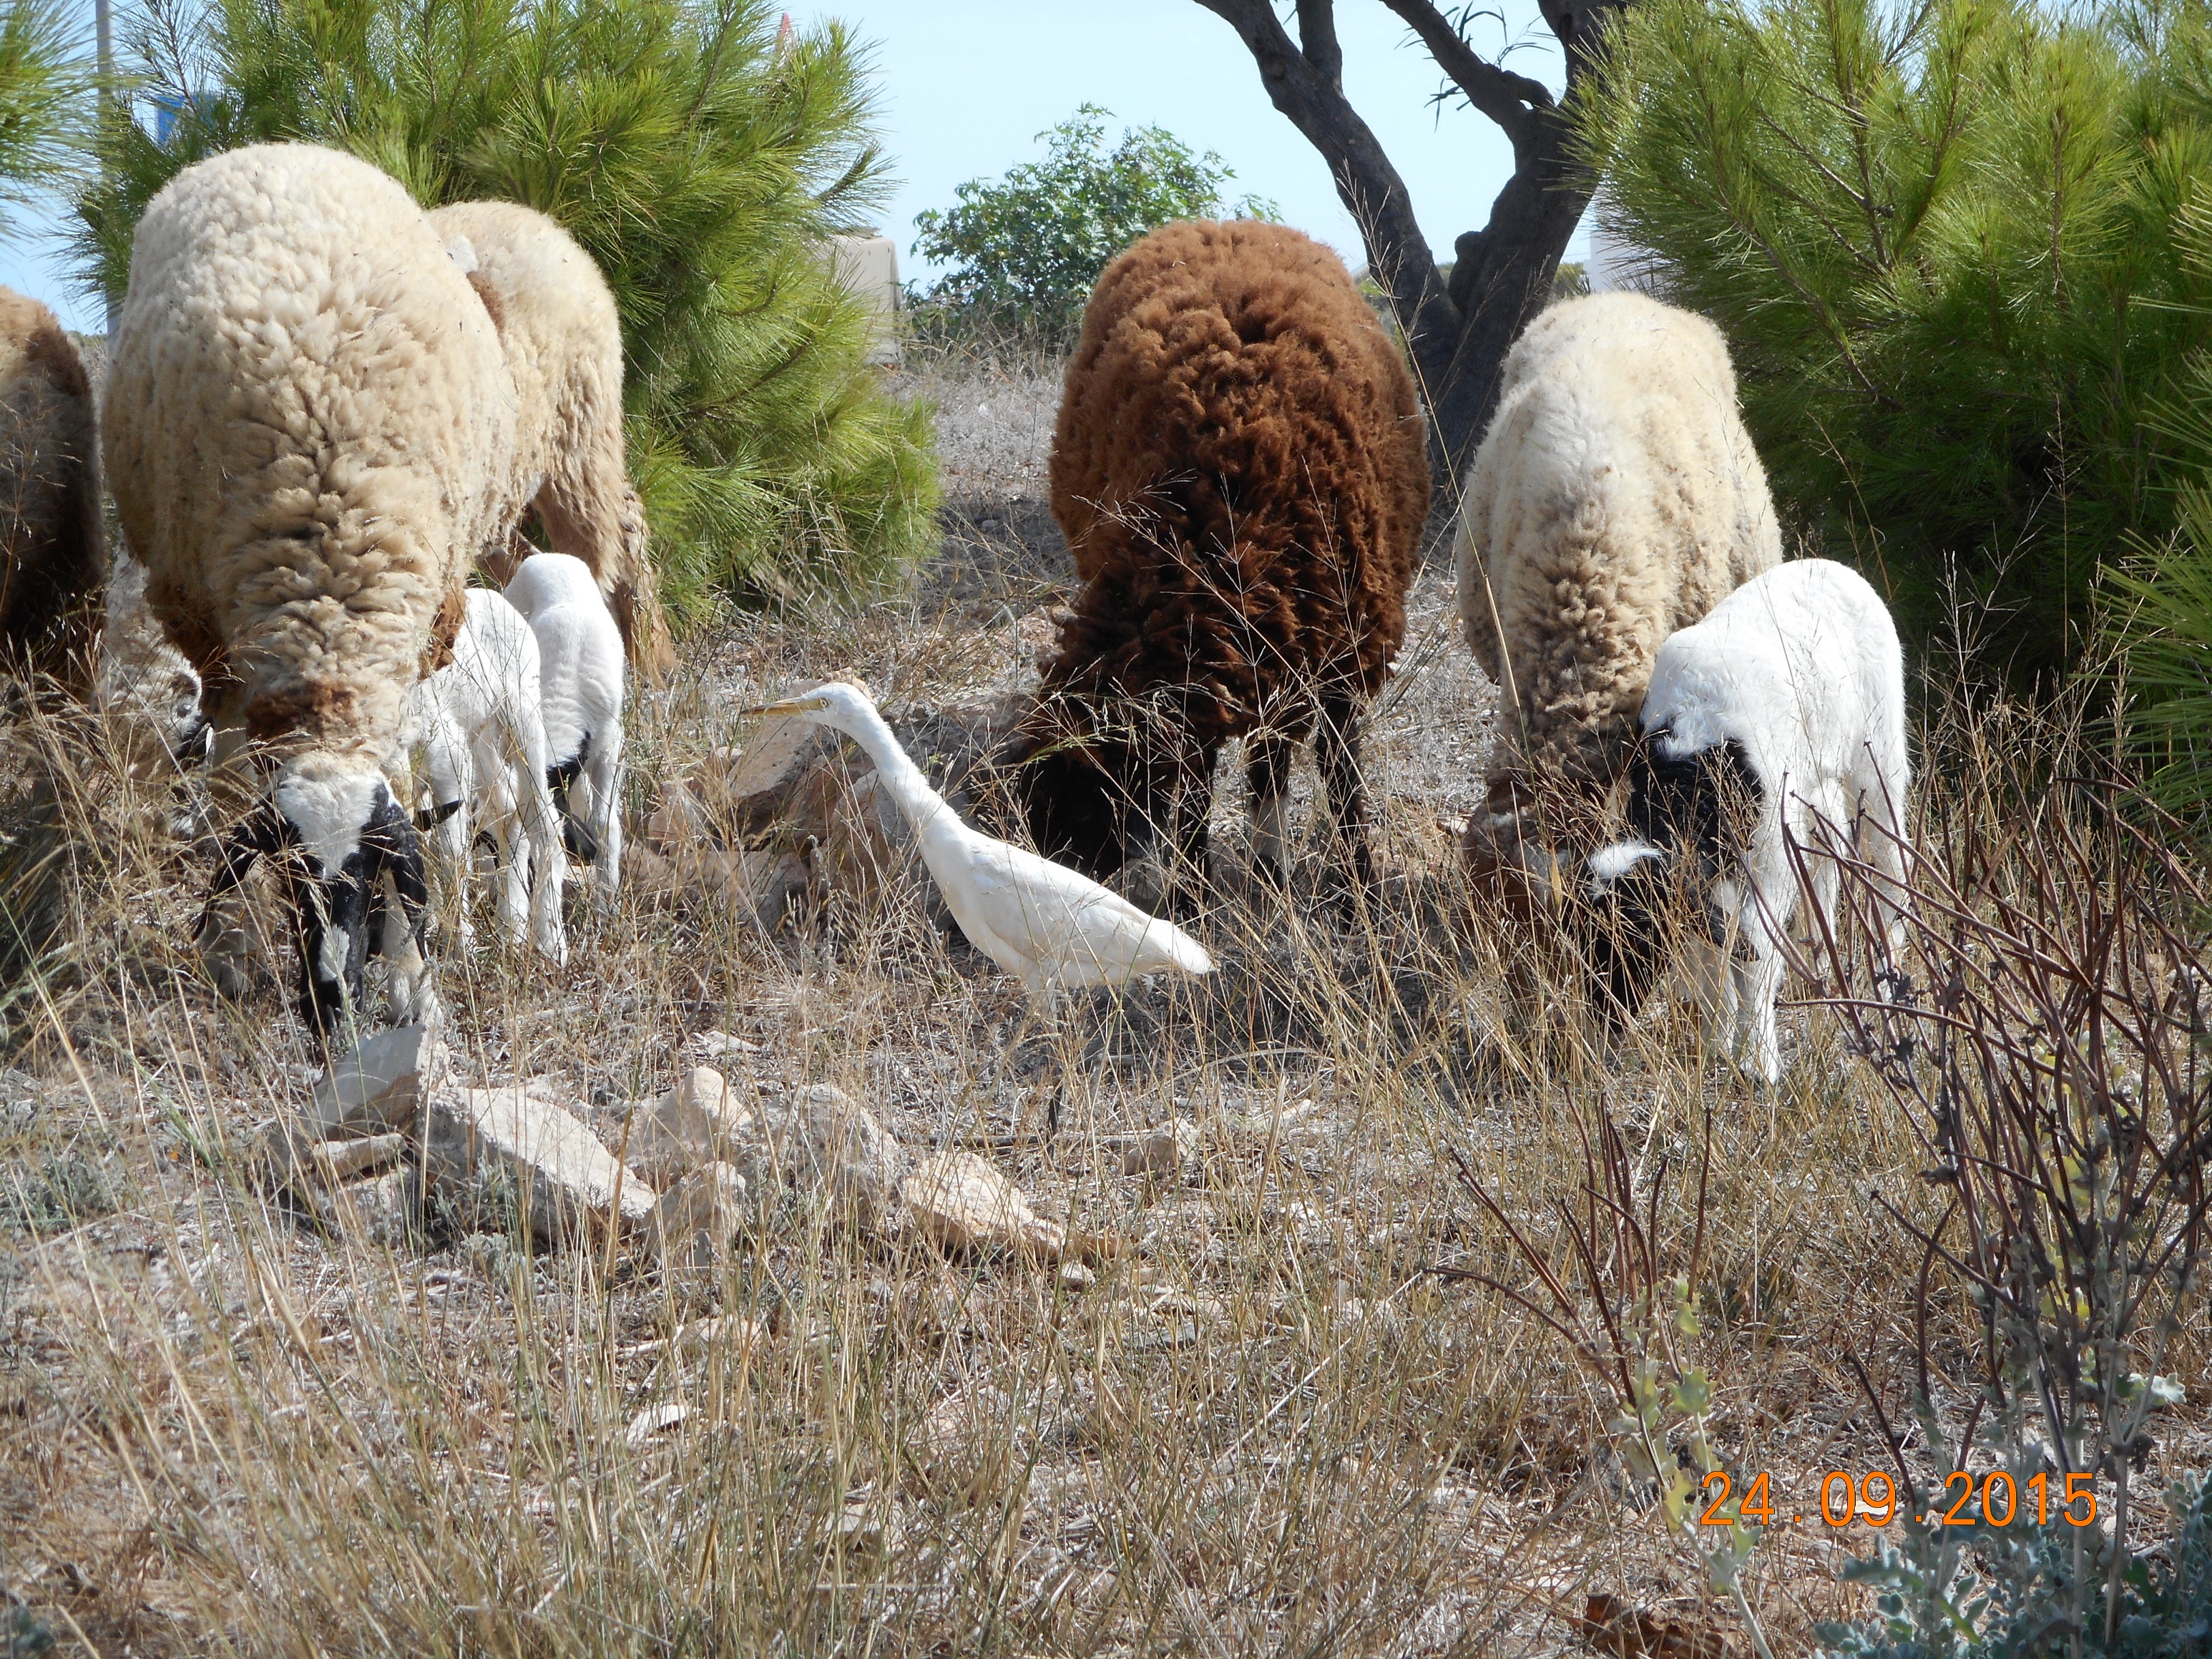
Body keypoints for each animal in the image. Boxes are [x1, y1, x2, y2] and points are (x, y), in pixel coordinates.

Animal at [103, 142, 521, 1035]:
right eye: (288, 879)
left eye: (370, 880)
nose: (331, 1004)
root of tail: (281, 149)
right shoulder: (219, 644)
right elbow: (233, 788)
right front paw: (228, 953)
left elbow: (409, 791)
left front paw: (410, 980)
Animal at [393, 587, 567, 964]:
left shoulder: (446, 757)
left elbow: (452, 853)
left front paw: (463, 944)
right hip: (483, 739)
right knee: (509, 812)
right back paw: (511, 927)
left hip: (520, 715)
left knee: (543, 821)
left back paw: (551, 943)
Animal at [1009, 219, 1429, 911]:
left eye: (1091, 789)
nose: (1066, 868)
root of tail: (1227, 223)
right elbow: (1201, 771)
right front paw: (1194, 889)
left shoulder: (1341, 646)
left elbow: (1340, 768)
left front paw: (1358, 887)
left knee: (1278, 749)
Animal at [1584, 558, 1911, 1084]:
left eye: (1639, 933)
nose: (1605, 1013)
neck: (1691, 771)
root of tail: (1828, 565)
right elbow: (1710, 956)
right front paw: (1718, 1041)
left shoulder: (1770, 859)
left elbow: (1757, 951)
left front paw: (1760, 1060)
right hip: (1814, 781)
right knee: (1829, 855)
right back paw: (1823, 957)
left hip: (1877, 749)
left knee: (1892, 859)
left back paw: (1888, 970)